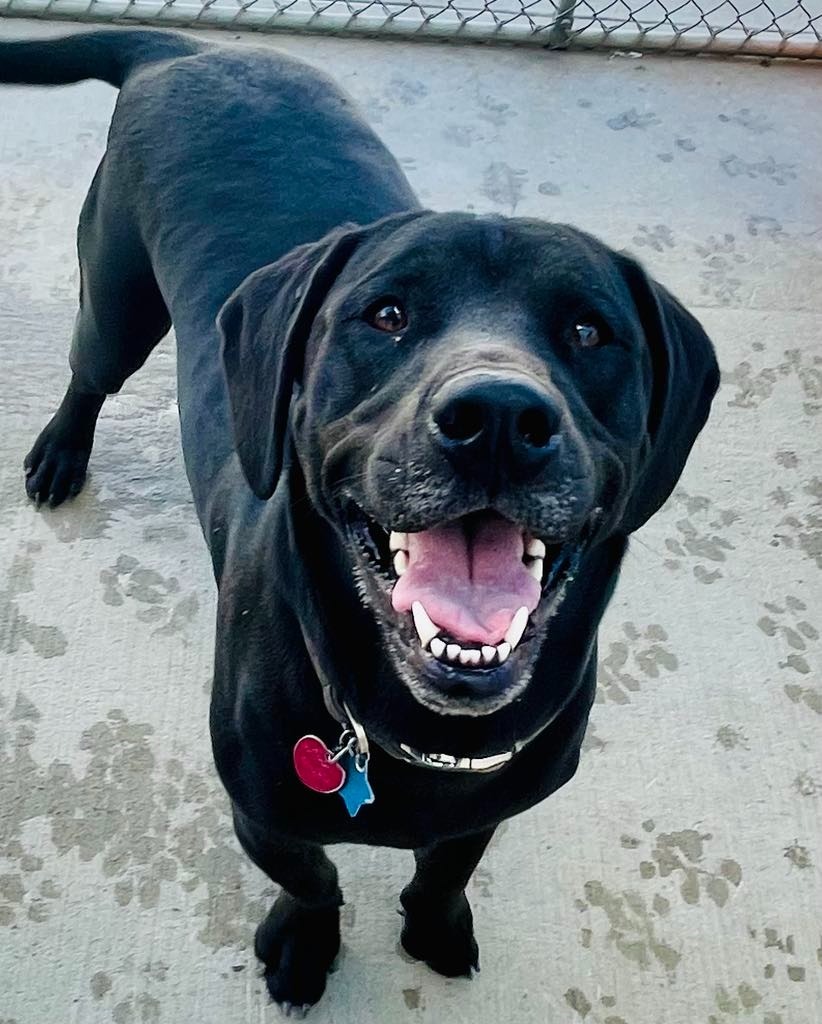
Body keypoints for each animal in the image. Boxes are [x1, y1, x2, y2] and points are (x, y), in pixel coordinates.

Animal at [0, 32, 716, 1015]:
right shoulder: (259, 806)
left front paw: (435, 924)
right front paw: (306, 944)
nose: (498, 417)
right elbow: (311, 877)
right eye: (387, 314)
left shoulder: (491, 800)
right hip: (115, 296)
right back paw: (61, 450)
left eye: (588, 331)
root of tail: (192, 47)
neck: (416, 728)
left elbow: (450, 865)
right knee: (89, 370)